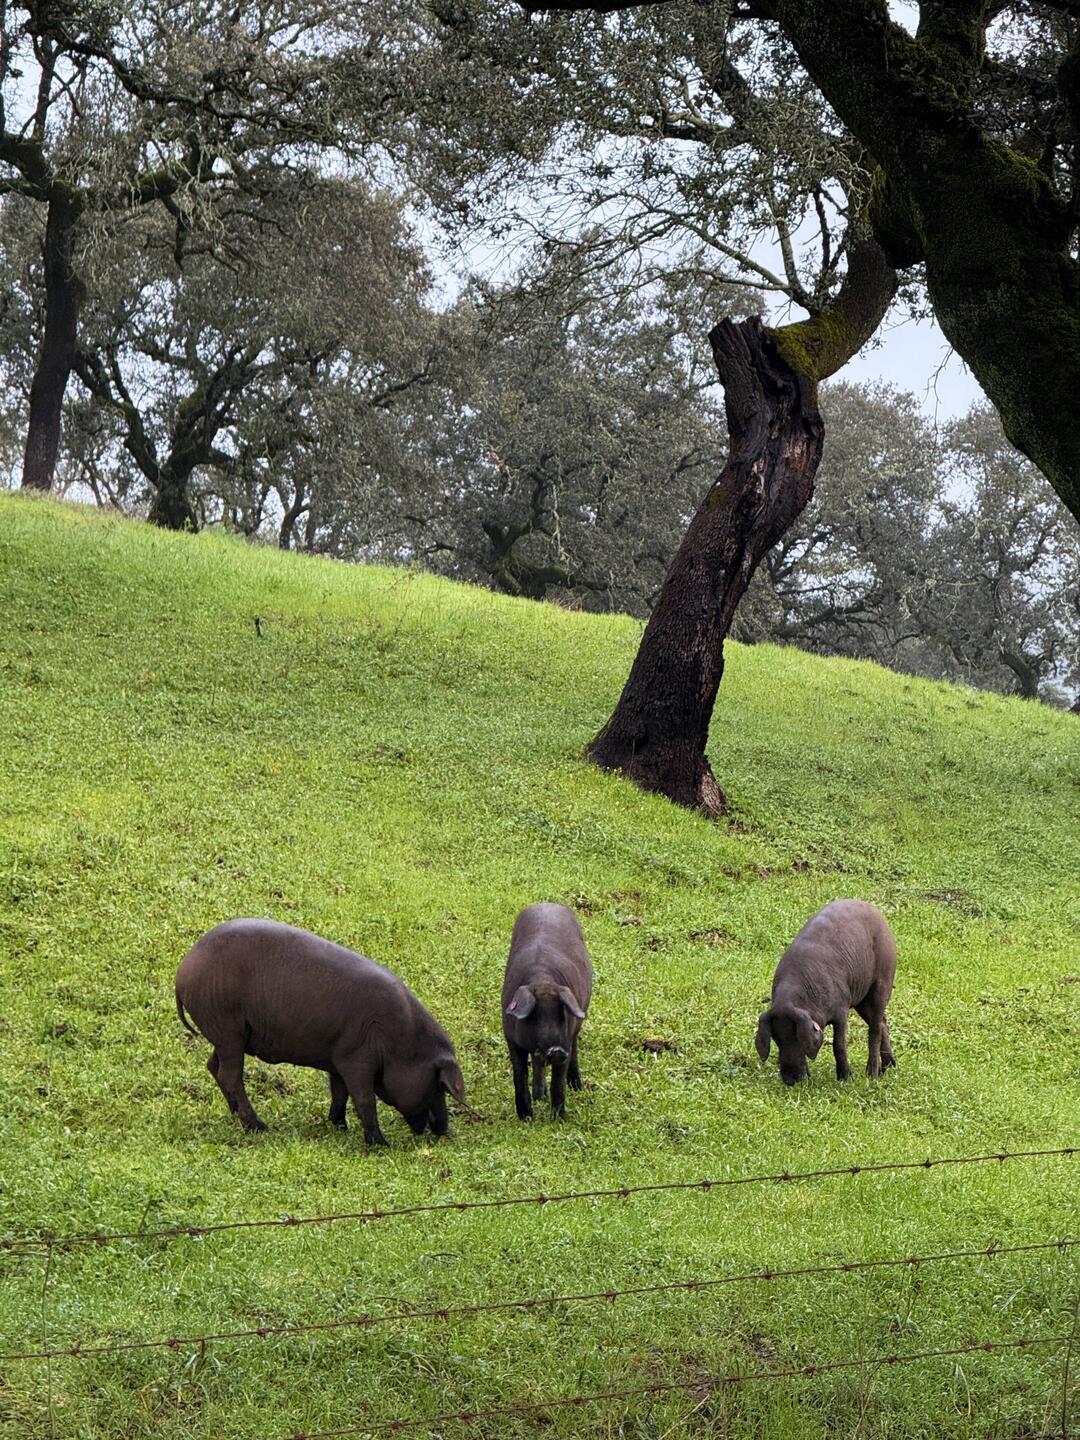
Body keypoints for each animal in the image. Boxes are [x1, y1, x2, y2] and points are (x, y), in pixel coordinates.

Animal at [175, 919, 466, 1145]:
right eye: (438, 1084)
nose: (444, 1130)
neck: (401, 1042)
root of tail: (183, 972)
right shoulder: (356, 1059)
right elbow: (364, 1099)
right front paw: (380, 1144)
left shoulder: (338, 1057)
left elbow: (339, 1092)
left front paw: (340, 1127)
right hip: (227, 1029)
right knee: (230, 1074)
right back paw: (259, 1127)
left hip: (225, 1034)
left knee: (213, 1066)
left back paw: (237, 1115)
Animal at [502, 902, 592, 1120]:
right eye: (534, 1017)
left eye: (561, 1015)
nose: (556, 1049)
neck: (543, 982)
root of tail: (547, 903)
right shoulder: (510, 1038)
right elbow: (519, 1075)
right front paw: (526, 1118)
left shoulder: (566, 1039)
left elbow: (558, 1084)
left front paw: (560, 1119)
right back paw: (539, 1097)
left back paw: (576, 1087)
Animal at [755, 899, 897, 1086]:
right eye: (776, 1039)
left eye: (797, 1037)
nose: (790, 1080)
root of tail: (878, 913)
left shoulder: (842, 1009)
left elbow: (839, 1044)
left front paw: (845, 1078)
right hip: (861, 1001)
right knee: (882, 1023)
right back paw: (888, 1068)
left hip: (882, 982)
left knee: (874, 1029)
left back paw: (872, 1074)